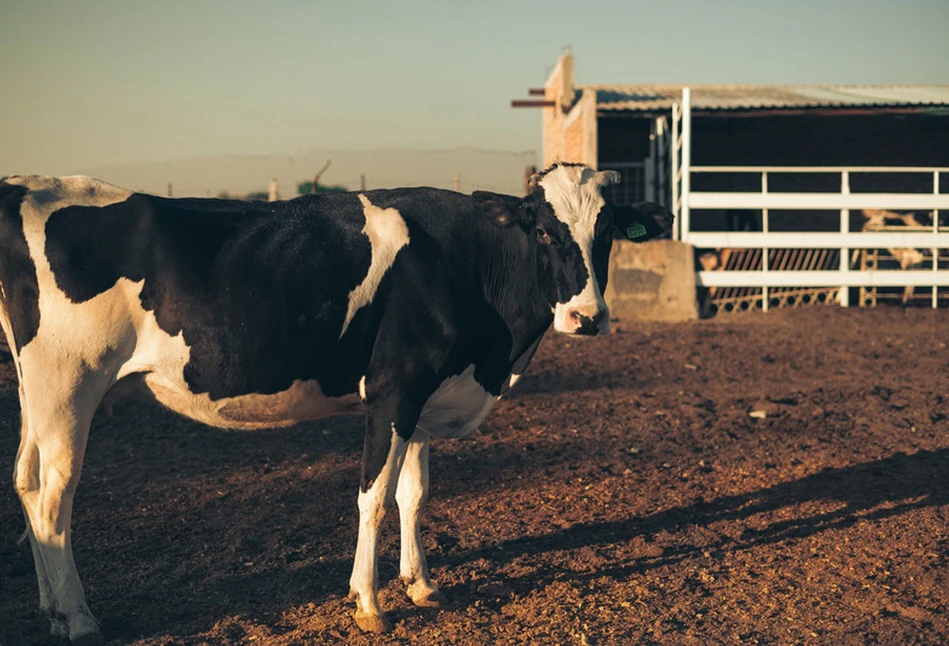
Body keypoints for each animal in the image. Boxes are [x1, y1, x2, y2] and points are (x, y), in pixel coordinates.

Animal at [0, 165, 672, 644]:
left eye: (606, 233)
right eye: (543, 230)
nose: (587, 317)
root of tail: (28, 183)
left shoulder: (423, 397)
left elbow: (413, 494)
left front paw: (421, 585)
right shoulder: (393, 389)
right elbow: (373, 497)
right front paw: (369, 604)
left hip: (39, 393)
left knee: (27, 483)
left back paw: (51, 610)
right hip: (68, 383)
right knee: (56, 495)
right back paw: (78, 618)